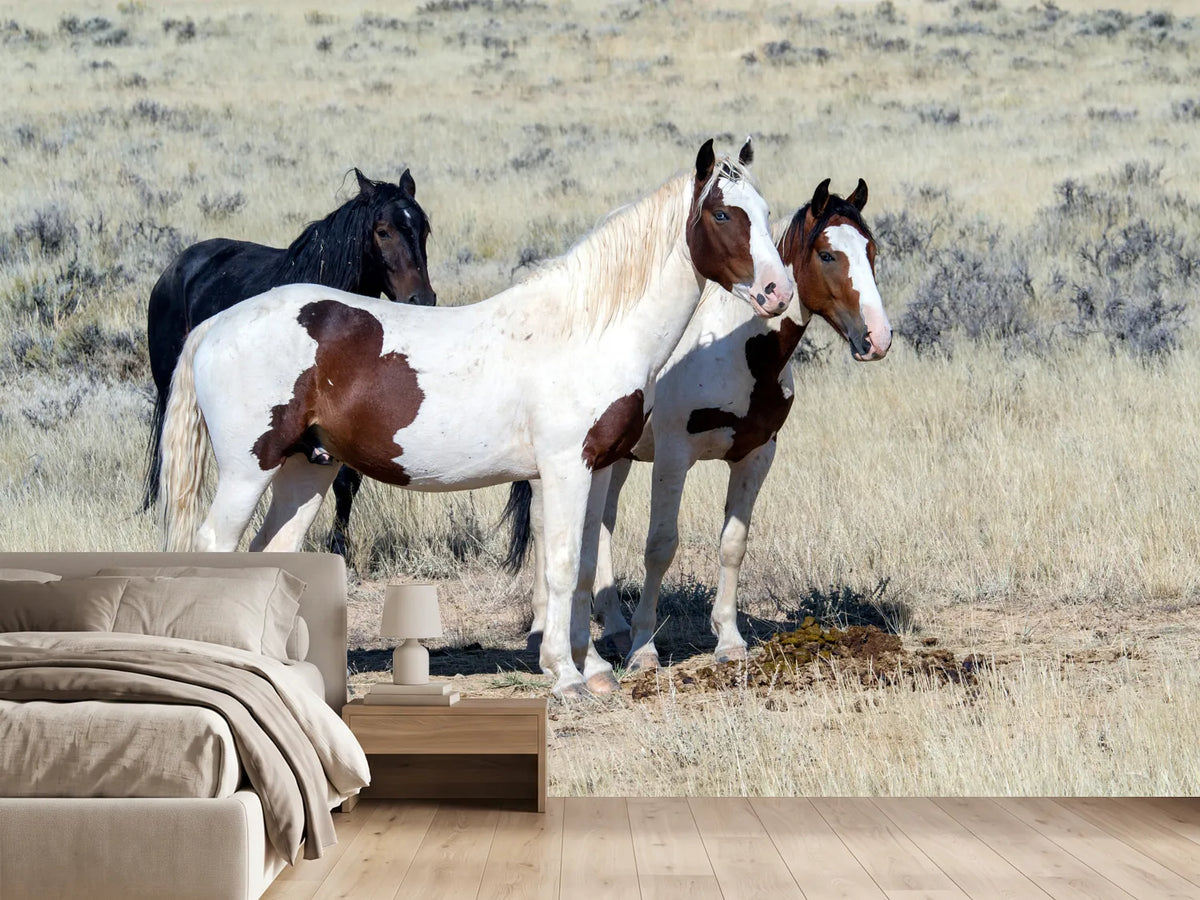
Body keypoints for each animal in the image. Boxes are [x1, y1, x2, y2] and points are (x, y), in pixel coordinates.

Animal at [141, 168, 436, 556]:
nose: (422, 299)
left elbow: (348, 480)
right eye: (382, 231)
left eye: (424, 228)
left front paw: (339, 544)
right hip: (168, 389)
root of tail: (177, 267)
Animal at [508, 178, 890, 670]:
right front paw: (644, 646)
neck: (737, 351)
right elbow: (660, 546)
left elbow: (733, 544)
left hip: (615, 458)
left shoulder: (756, 454)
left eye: (871, 249)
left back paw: (612, 627)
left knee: (601, 525)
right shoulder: (674, 457)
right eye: (827, 255)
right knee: (543, 525)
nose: (878, 338)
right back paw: (544, 631)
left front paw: (728, 639)